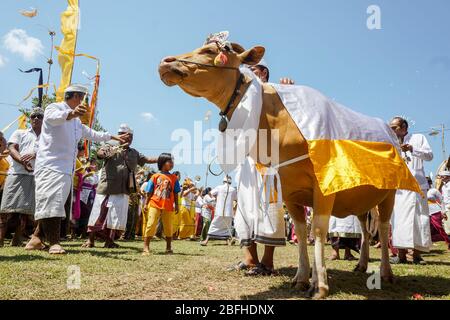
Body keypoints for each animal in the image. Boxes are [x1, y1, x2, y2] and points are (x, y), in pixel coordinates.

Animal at [157, 41, 398, 298]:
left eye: (211, 51)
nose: (165, 62)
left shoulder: (323, 185)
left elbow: (318, 231)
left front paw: (320, 285)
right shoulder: (289, 188)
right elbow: (301, 232)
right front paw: (301, 278)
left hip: (390, 193)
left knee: (383, 228)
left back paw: (385, 272)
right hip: (362, 197)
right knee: (365, 229)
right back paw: (361, 264)